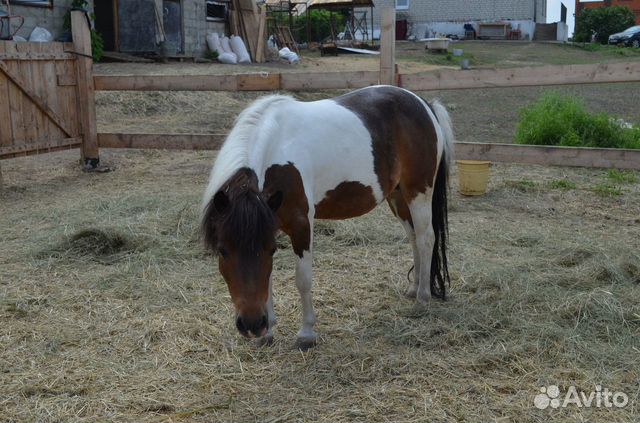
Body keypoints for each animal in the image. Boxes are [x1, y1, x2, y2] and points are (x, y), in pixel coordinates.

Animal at [202, 84, 452, 350]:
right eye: (222, 251)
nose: (252, 325)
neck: (276, 146)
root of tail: (424, 104)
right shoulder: (270, 222)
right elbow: (267, 278)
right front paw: (268, 332)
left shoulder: (301, 224)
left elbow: (303, 279)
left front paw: (306, 333)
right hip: (398, 196)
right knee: (414, 237)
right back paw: (414, 288)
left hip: (418, 191)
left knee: (426, 238)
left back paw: (423, 299)